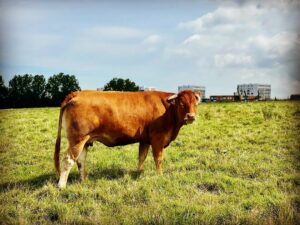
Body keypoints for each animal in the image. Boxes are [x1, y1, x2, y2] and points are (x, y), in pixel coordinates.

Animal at [54, 90, 199, 188]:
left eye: (195, 104)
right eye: (181, 103)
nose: (191, 116)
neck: (168, 110)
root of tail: (76, 93)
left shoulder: (145, 139)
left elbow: (142, 156)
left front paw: (139, 172)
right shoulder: (158, 138)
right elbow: (158, 159)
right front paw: (160, 176)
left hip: (85, 141)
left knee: (81, 160)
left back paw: (84, 180)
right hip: (77, 139)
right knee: (68, 160)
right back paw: (61, 185)